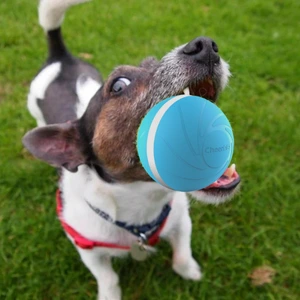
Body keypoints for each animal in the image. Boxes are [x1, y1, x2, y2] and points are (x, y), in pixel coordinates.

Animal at [22, 0, 240, 300]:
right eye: (119, 85)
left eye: (151, 62)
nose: (205, 45)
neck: (140, 211)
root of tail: (60, 57)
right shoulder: (88, 250)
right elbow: (108, 278)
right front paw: (109, 295)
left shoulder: (181, 221)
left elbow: (182, 253)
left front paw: (190, 271)